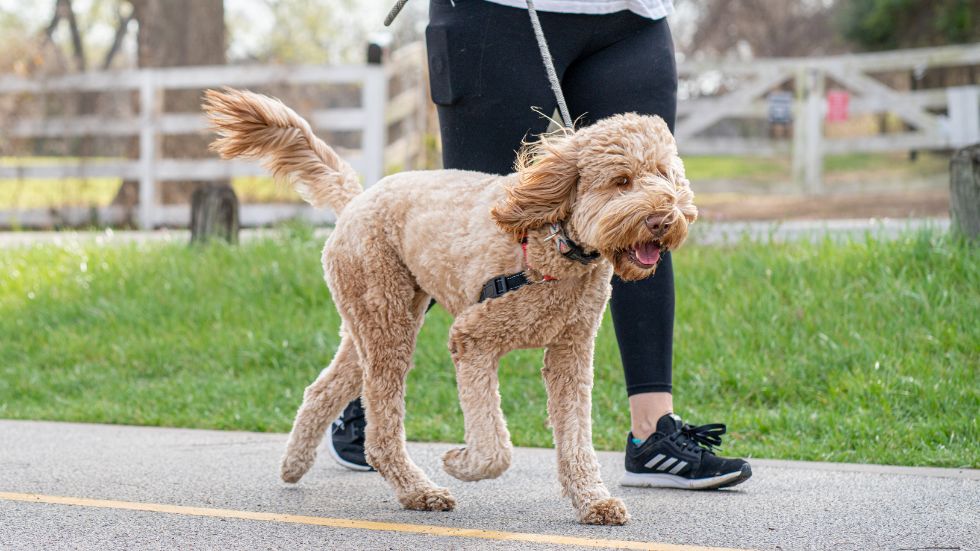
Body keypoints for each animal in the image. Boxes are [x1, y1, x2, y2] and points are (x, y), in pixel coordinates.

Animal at [205, 89, 696, 528]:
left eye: (664, 175)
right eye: (622, 180)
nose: (664, 219)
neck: (554, 243)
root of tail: (357, 199)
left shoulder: (570, 354)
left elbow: (576, 438)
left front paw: (593, 501)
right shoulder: (472, 338)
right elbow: (495, 448)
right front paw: (461, 462)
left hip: (376, 321)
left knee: (322, 390)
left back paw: (294, 464)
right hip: (387, 322)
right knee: (381, 430)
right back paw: (418, 491)